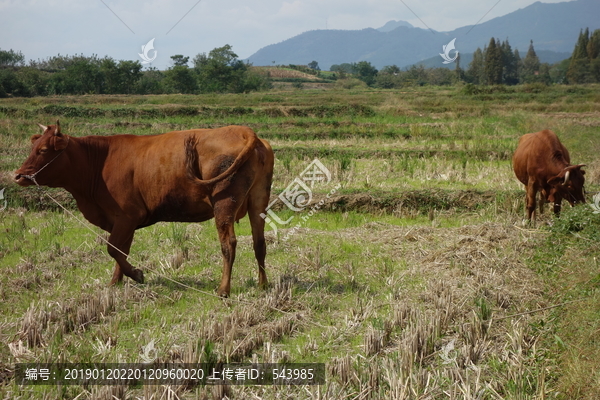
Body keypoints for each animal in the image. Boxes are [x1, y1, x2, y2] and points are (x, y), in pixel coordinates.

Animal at [14, 120, 274, 296]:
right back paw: (263, 284)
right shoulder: (124, 222)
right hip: (258, 201)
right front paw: (115, 283)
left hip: (224, 204)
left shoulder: (126, 216)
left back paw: (223, 289)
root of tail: (243, 131)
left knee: (229, 244)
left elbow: (113, 249)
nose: (17, 175)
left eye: (43, 150)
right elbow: (121, 251)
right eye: (33, 147)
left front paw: (136, 275)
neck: (98, 163)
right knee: (259, 242)